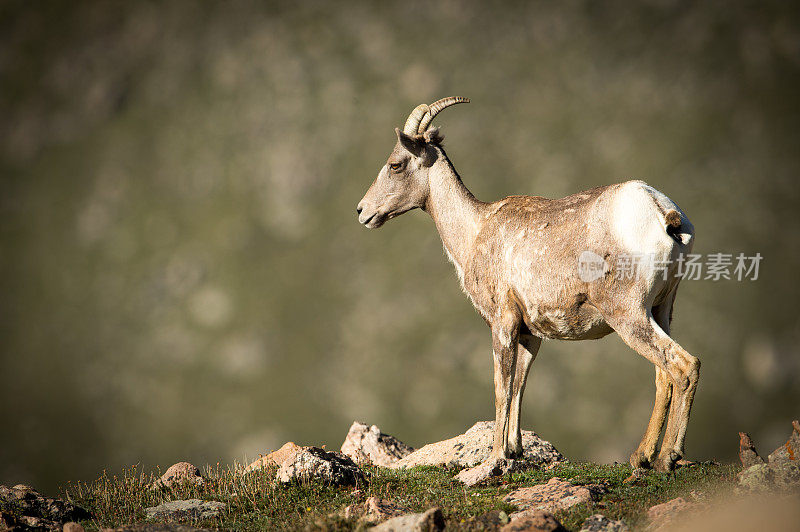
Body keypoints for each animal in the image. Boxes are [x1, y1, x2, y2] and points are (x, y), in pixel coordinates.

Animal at [356, 97, 700, 472]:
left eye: (395, 164)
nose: (362, 211)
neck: (476, 229)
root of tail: (663, 213)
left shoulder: (502, 323)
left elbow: (501, 386)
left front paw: (495, 457)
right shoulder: (530, 334)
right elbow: (519, 384)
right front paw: (515, 450)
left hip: (628, 315)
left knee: (683, 366)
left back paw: (666, 458)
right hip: (661, 310)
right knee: (663, 374)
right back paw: (643, 457)